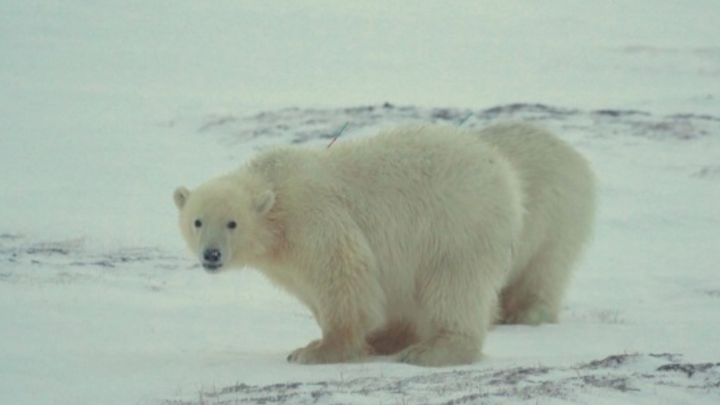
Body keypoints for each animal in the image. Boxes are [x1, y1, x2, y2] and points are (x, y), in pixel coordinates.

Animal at [174, 122, 596, 366]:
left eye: (232, 222)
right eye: (197, 221)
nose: (212, 255)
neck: (278, 193)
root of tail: (502, 171)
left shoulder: (315, 218)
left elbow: (343, 274)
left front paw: (315, 350)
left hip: (459, 226)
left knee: (458, 285)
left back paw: (434, 350)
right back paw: (392, 339)